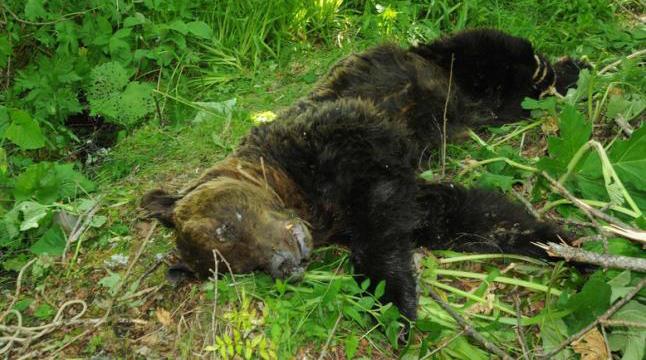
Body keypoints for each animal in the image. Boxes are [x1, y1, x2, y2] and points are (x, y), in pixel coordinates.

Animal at [143, 29, 588, 322]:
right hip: (489, 103)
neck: (295, 189)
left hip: (452, 60)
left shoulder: (345, 137)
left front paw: (390, 301)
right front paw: (561, 246)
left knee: (507, 56)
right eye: (238, 267)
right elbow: (461, 213)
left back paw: (565, 68)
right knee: (513, 100)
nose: (284, 265)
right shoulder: (370, 200)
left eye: (228, 228)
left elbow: (375, 215)